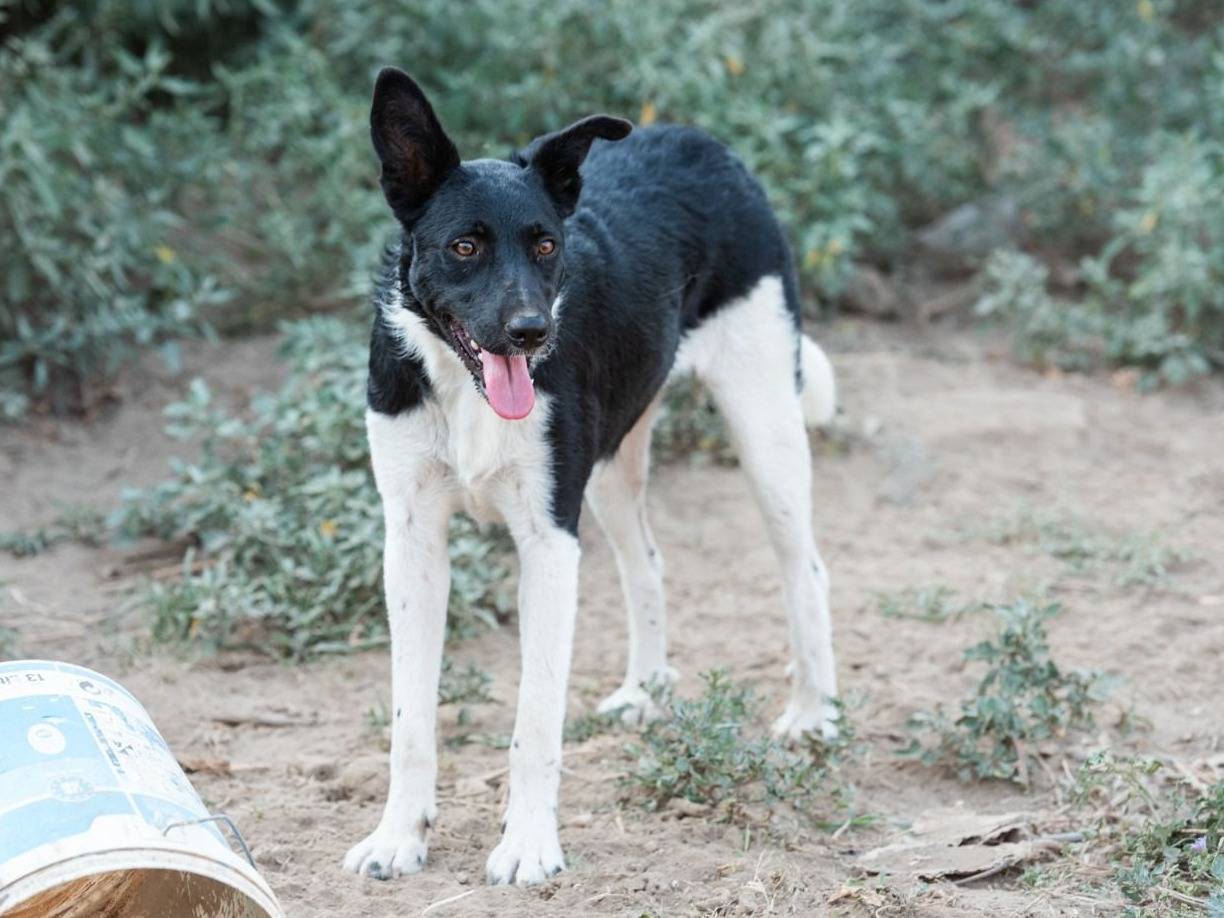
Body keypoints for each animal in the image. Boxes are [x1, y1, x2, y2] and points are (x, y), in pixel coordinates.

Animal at [345, 70, 842, 891]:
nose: (531, 333)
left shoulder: (549, 543)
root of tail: (702, 142)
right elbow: (409, 717)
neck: (468, 390)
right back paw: (646, 690)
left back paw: (814, 714)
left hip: (764, 421)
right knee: (648, 563)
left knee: (804, 569)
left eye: (547, 244)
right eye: (464, 246)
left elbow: (536, 718)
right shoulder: (411, 542)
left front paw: (526, 845)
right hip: (611, 467)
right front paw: (398, 837)